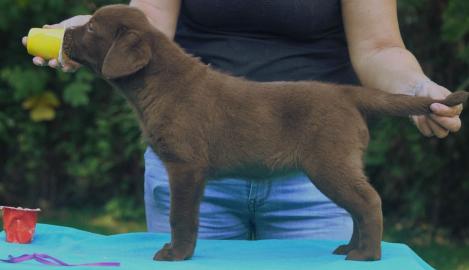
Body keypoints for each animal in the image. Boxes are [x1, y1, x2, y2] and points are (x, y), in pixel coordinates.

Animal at [63, 4, 468, 262]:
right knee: (358, 206)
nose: (65, 32)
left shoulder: (186, 166)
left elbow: (181, 216)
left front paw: (175, 254)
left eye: (92, 28)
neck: (160, 82)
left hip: (328, 163)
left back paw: (366, 254)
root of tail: (346, 92)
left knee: (368, 202)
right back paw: (349, 248)